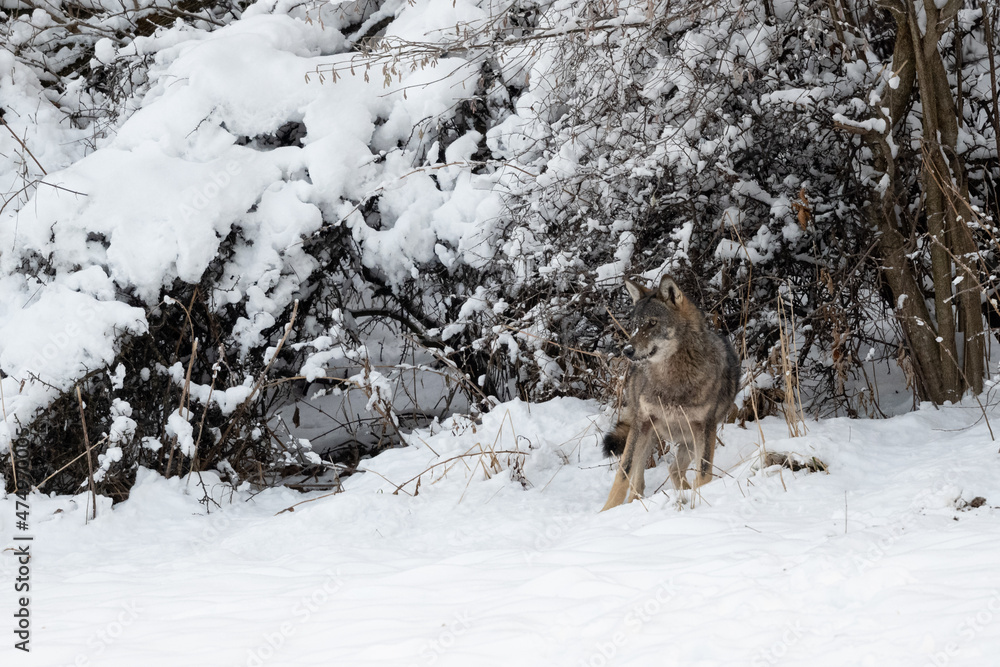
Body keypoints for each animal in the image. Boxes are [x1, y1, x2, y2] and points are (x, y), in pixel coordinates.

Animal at [601, 275, 740, 511]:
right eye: (635, 326)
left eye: (652, 323)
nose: (627, 350)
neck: (672, 381)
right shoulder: (643, 422)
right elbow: (623, 473)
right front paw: (606, 511)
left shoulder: (705, 428)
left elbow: (704, 472)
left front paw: (700, 498)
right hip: (646, 433)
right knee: (639, 479)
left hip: (688, 440)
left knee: (674, 469)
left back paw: (683, 494)